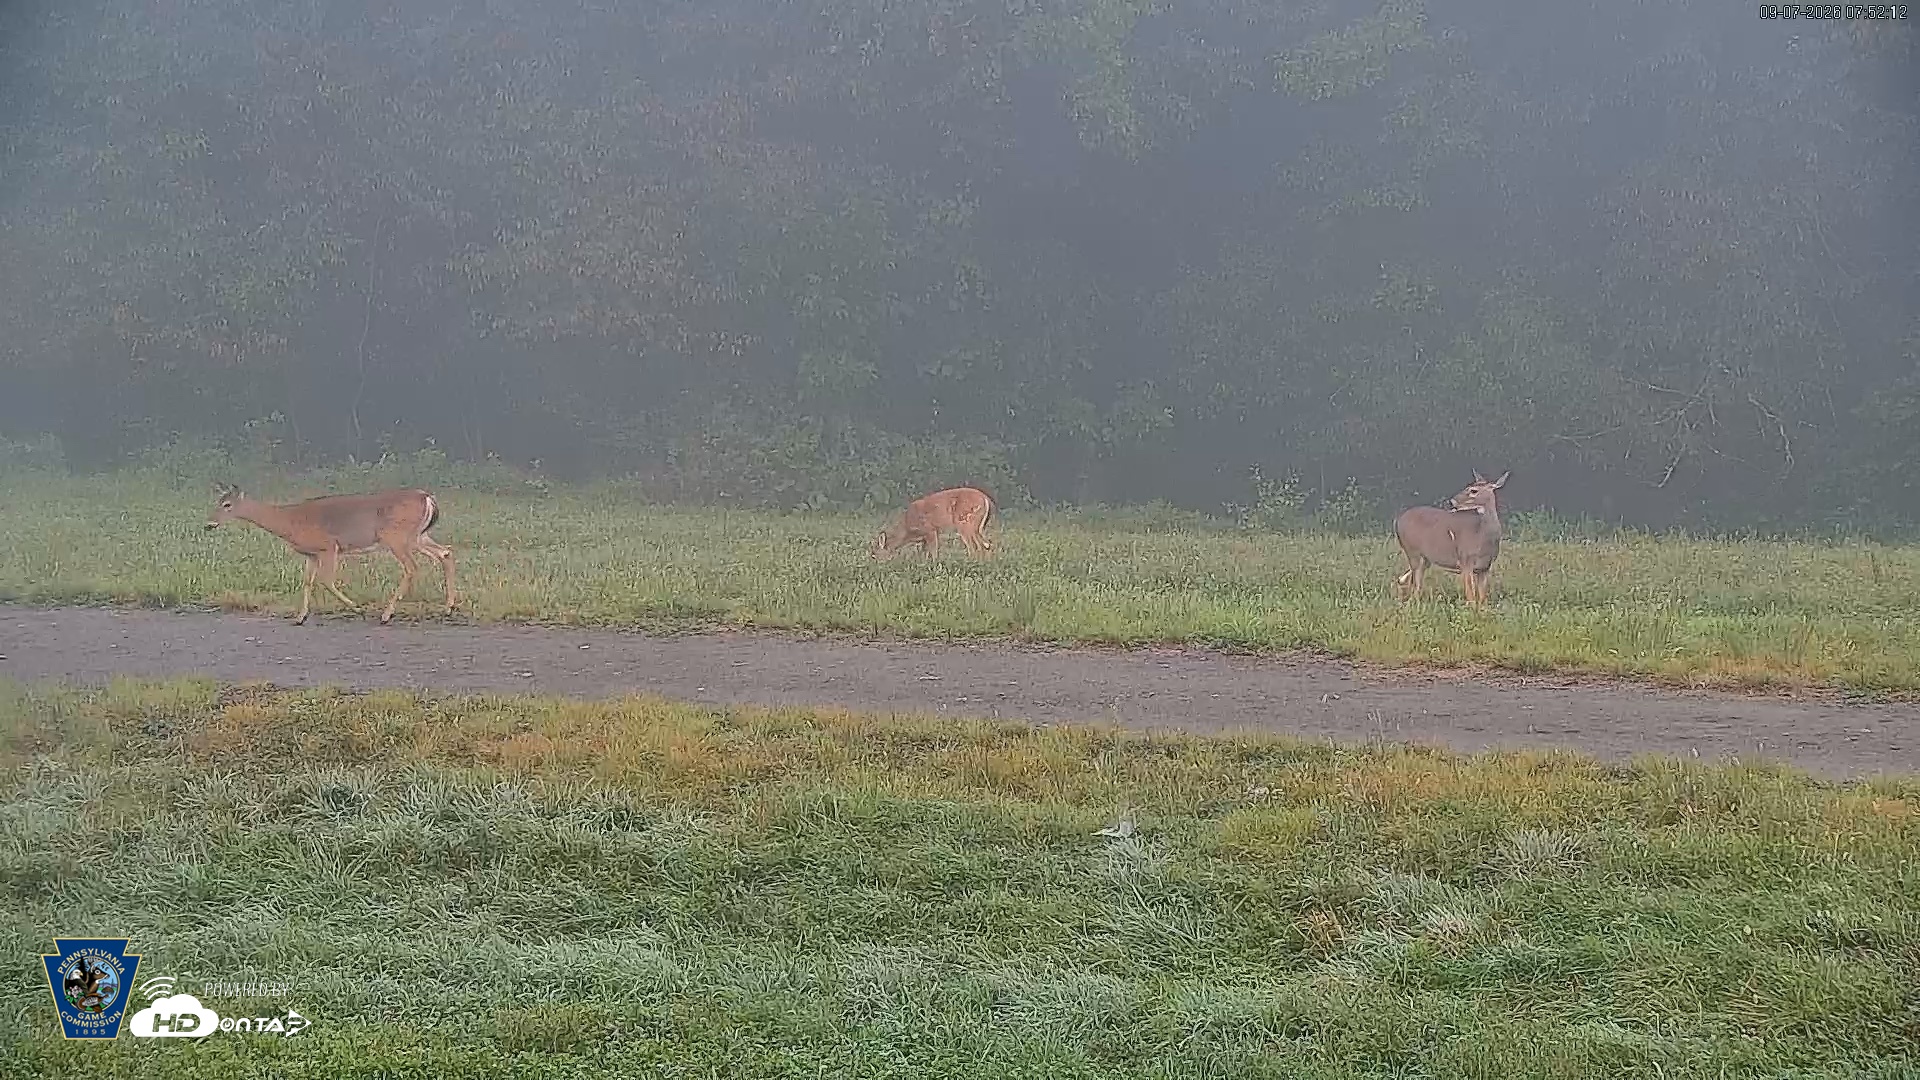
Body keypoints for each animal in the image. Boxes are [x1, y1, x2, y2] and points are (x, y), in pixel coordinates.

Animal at [204, 483, 458, 625]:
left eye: (227, 504)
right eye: (218, 501)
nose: (209, 524)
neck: (289, 522)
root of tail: (427, 497)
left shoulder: (328, 546)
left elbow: (326, 581)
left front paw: (357, 608)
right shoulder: (311, 554)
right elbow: (307, 582)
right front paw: (300, 618)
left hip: (397, 537)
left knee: (412, 567)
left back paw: (386, 615)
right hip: (418, 536)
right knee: (445, 553)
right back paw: (448, 608)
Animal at [1392, 470, 1509, 606]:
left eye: (1473, 490)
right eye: (1468, 486)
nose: (1452, 502)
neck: (1482, 536)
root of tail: (1398, 520)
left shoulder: (1484, 567)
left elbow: (1482, 599)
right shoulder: (1465, 561)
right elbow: (1471, 597)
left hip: (1425, 559)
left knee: (1405, 581)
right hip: (1413, 551)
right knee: (1414, 584)